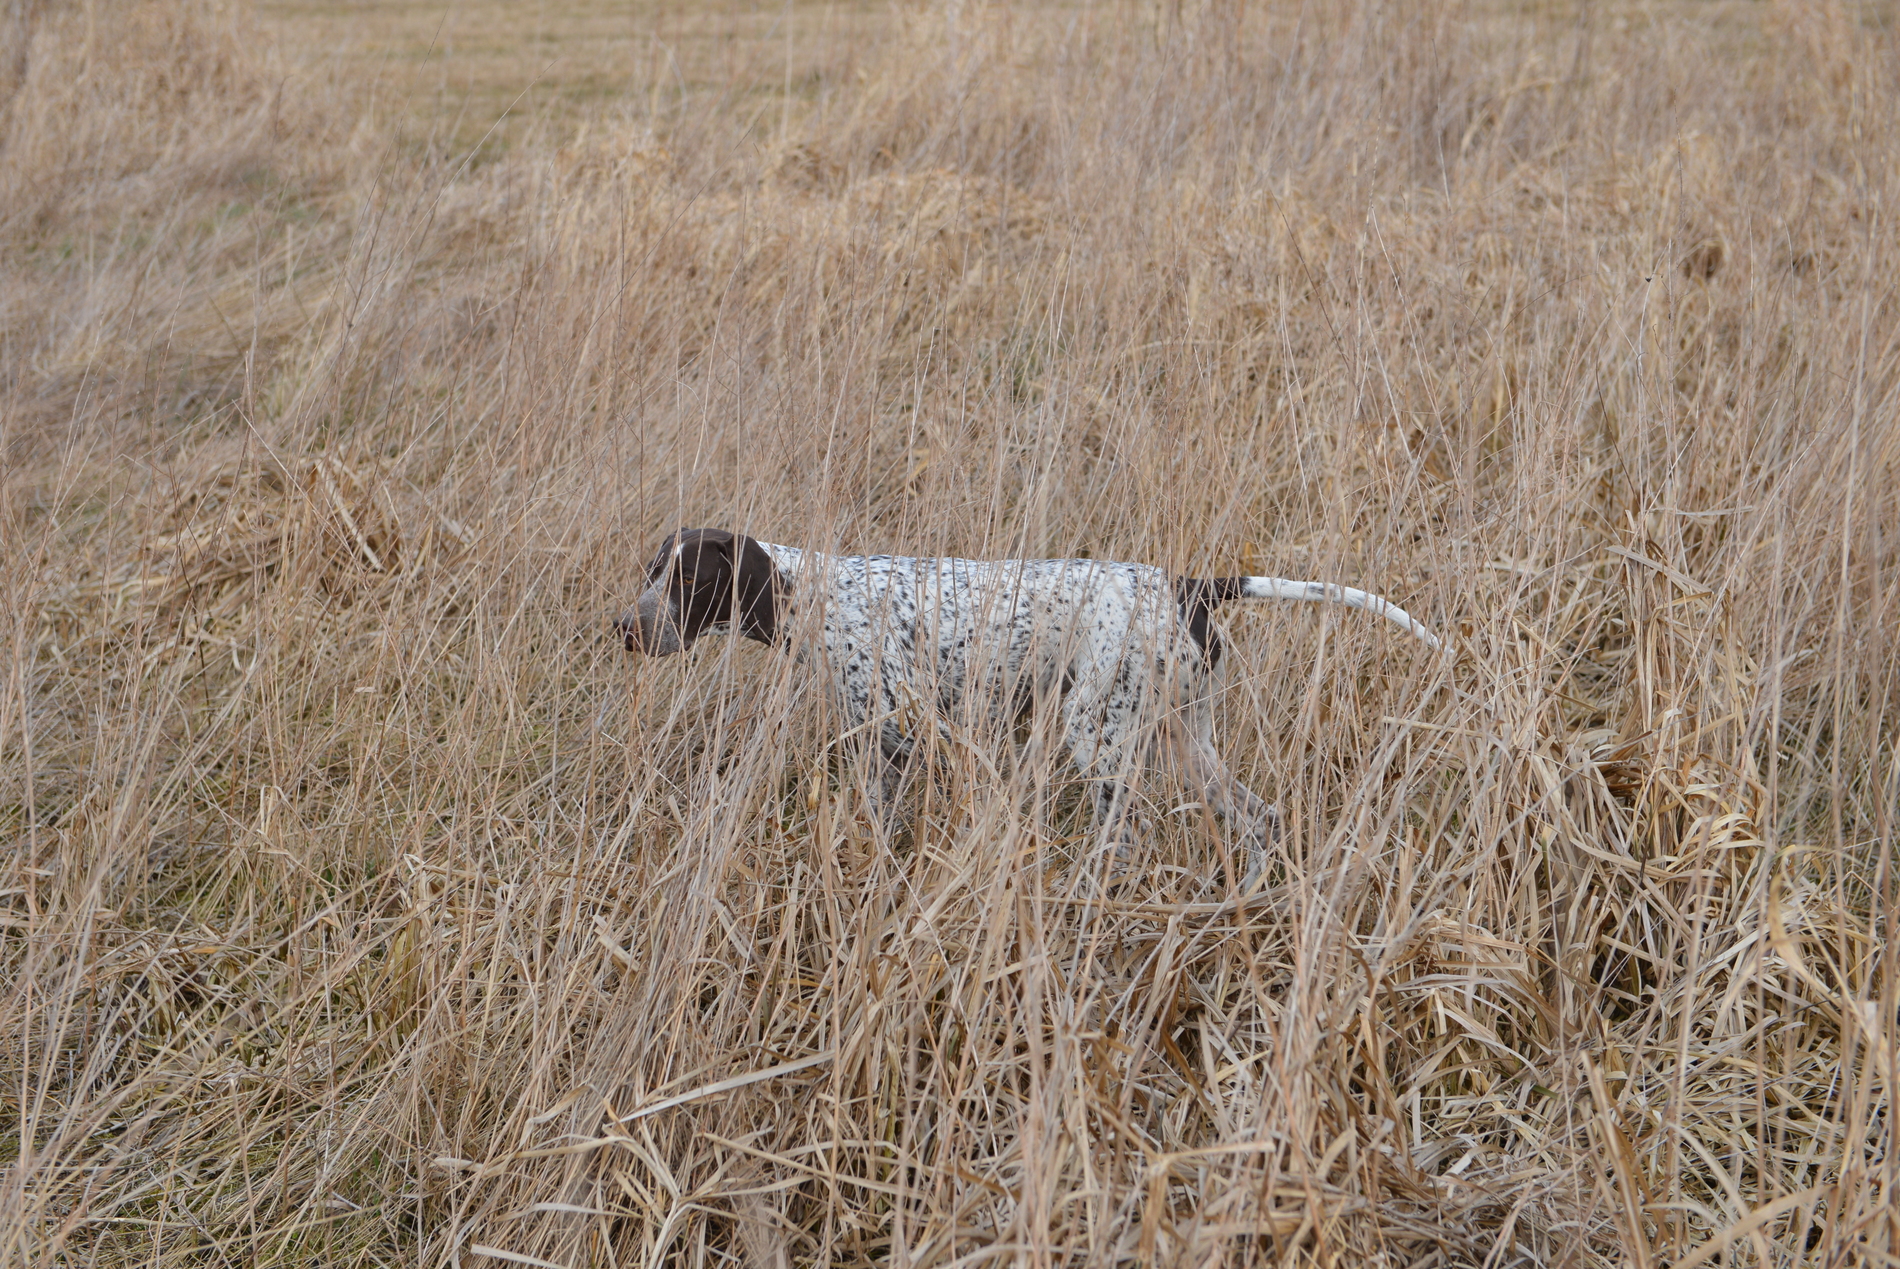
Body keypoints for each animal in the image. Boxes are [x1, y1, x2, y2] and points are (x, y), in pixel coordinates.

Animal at [617, 528, 1441, 888]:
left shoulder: (907, 736)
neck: (812, 594)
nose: (626, 626)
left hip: (1098, 735)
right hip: (1185, 741)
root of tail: (1185, 585)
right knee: (1261, 819)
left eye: (689, 579)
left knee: (1127, 834)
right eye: (650, 569)